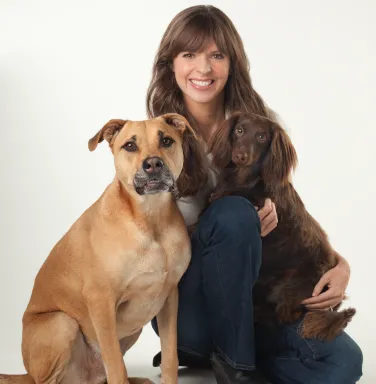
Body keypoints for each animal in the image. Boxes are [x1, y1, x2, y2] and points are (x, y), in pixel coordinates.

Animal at [0, 114, 206, 384]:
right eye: (130, 145)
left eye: (166, 140)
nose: (153, 164)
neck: (150, 219)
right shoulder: (101, 301)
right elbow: (116, 366)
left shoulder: (170, 297)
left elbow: (170, 357)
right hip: (62, 323)